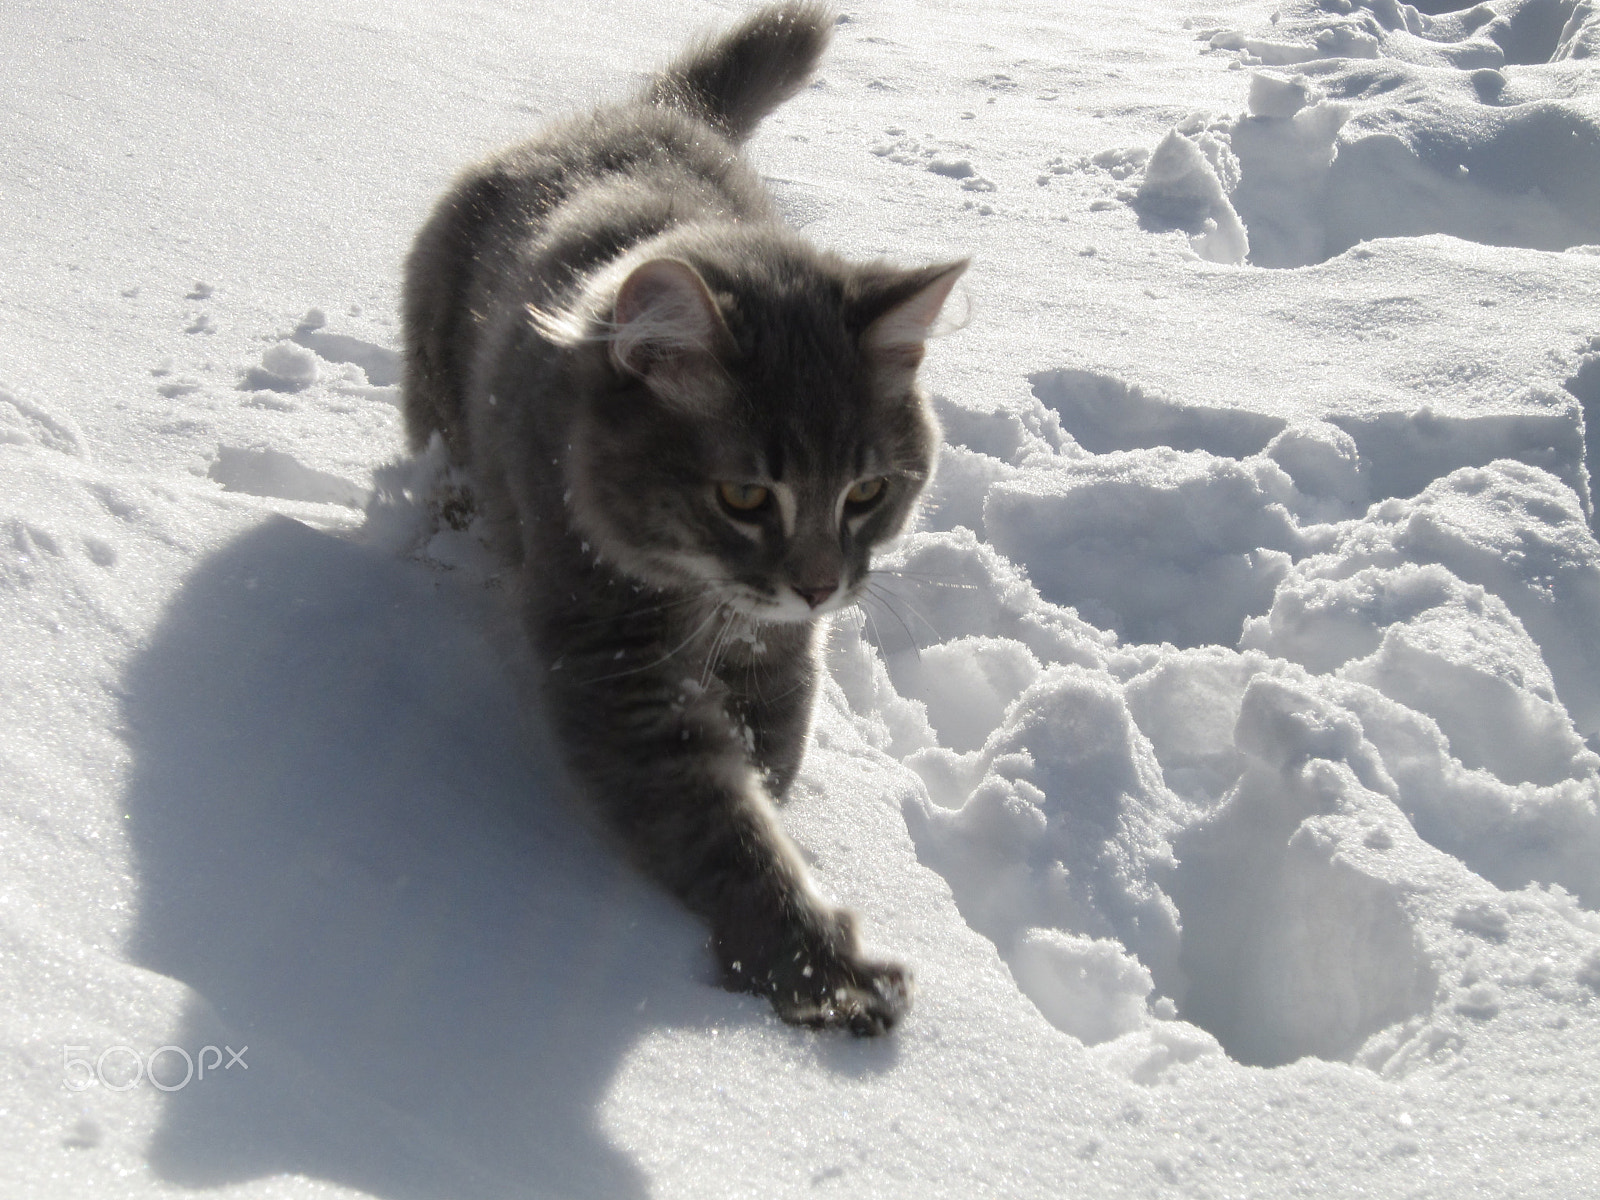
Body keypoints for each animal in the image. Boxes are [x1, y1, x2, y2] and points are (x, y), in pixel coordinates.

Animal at [406, 0, 966, 1036]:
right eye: (745, 498)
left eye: (866, 494)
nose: (819, 584)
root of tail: (646, 113)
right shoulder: (616, 673)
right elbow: (719, 825)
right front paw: (818, 969)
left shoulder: (778, 660)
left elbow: (767, 770)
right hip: (435, 388)